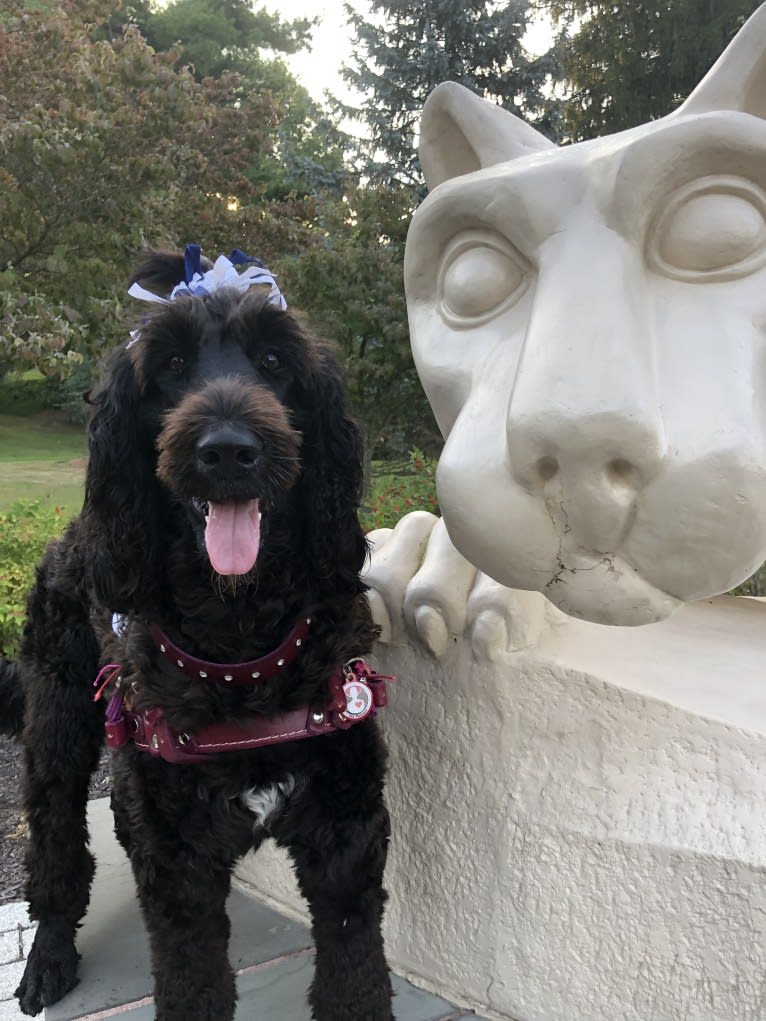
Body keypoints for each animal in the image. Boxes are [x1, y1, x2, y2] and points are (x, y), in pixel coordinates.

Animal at [0, 249, 396, 1021]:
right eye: (173, 365)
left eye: (275, 360)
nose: (229, 451)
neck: (243, 651)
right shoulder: (179, 871)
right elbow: (192, 980)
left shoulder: (347, 837)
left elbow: (355, 975)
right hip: (56, 727)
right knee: (57, 845)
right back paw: (48, 956)